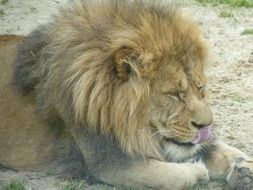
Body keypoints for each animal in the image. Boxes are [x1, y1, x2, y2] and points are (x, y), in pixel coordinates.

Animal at [0, 0, 253, 189]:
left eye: (200, 87)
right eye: (174, 94)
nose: (206, 126)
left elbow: (221, 149)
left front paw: (243, 167)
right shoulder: (111, 162)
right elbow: (175, 178)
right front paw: (198, 167)